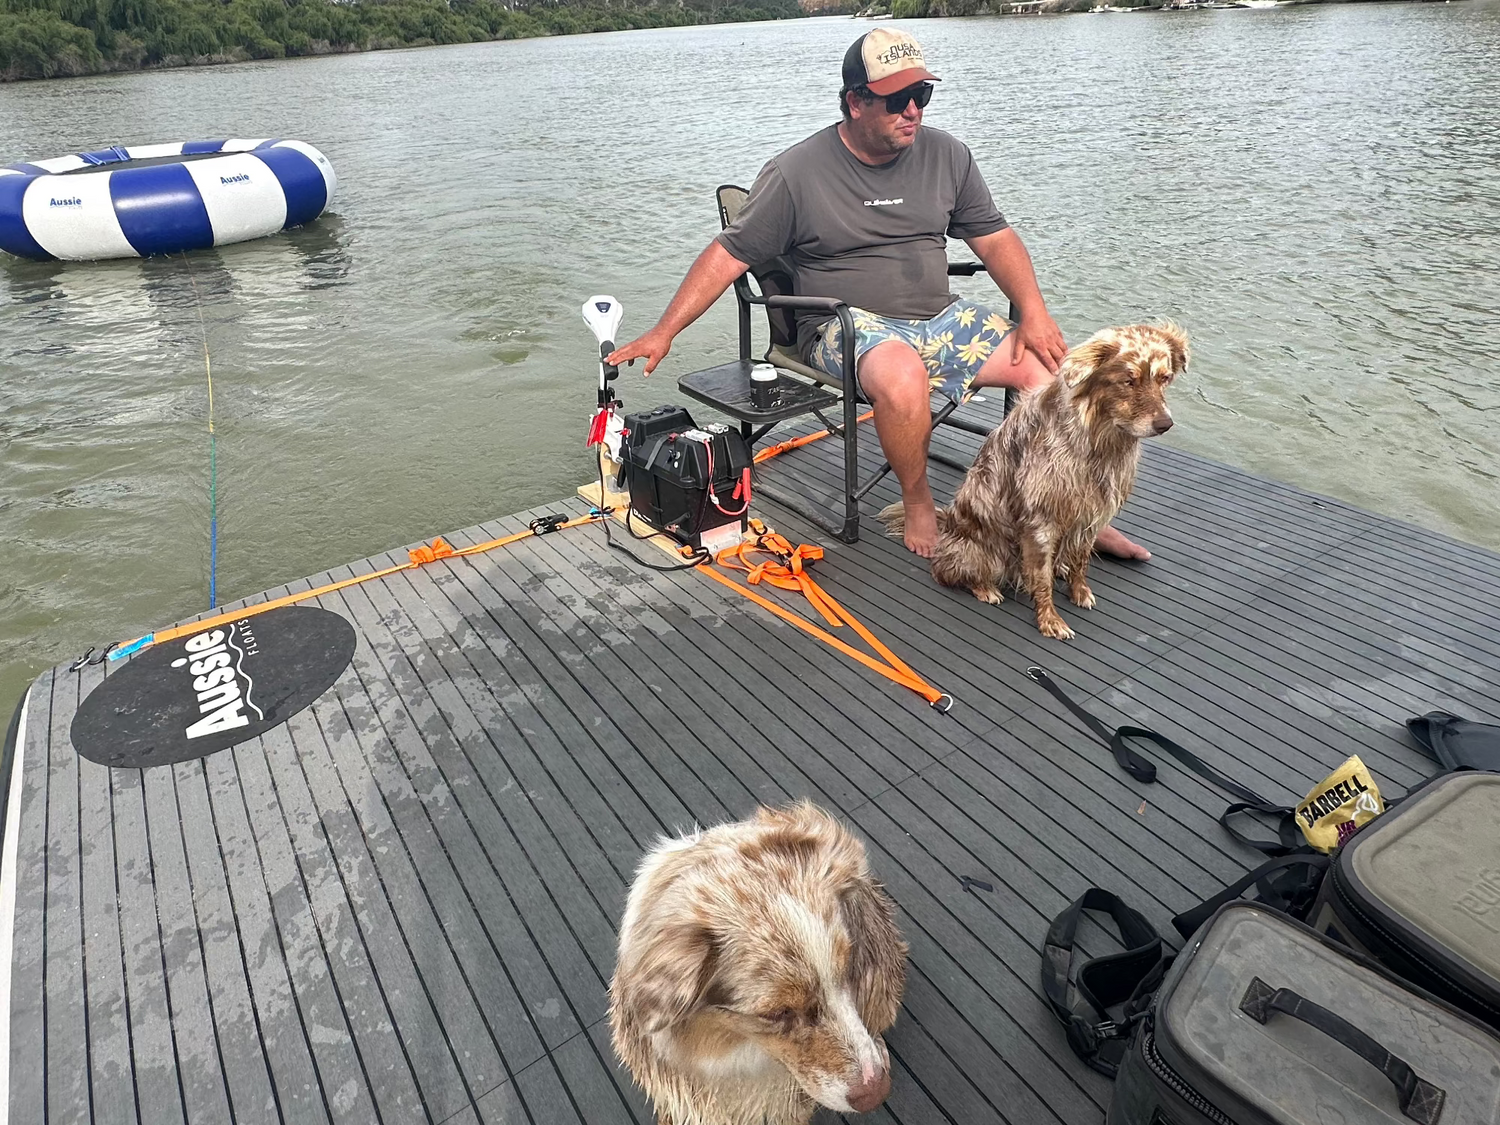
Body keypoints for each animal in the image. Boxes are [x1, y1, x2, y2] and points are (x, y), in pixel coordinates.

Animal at [876, 324, 1182, 642]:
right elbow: (1042, 579)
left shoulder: (1090, 515)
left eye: (1164, 378)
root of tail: (946, 523)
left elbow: (1081, 560)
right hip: (984, 552)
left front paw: (1079, 590)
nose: (1165, 424)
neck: (1096, 441)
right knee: (946, 571)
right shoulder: (1041, 521)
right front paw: (1050, 620)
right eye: (1128, 380)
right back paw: (985, 589)